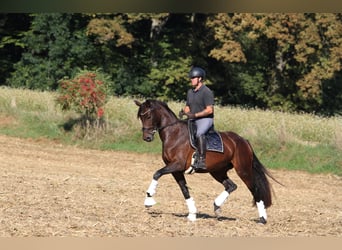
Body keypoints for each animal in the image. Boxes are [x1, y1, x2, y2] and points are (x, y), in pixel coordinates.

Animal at [134, 98, 276, 224]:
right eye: (140, 117)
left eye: (148, 116)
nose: (146, 138)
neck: (174, 133)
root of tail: (243, 141)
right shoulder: (176, 170)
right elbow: (184, 190)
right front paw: (192, 214)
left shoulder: (177, 165)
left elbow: (157, 173)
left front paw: (149, 199)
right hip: (217, 171)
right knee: (231, 186)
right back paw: (217, 206)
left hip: (243, 170)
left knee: (255, 190)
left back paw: (262, 219)